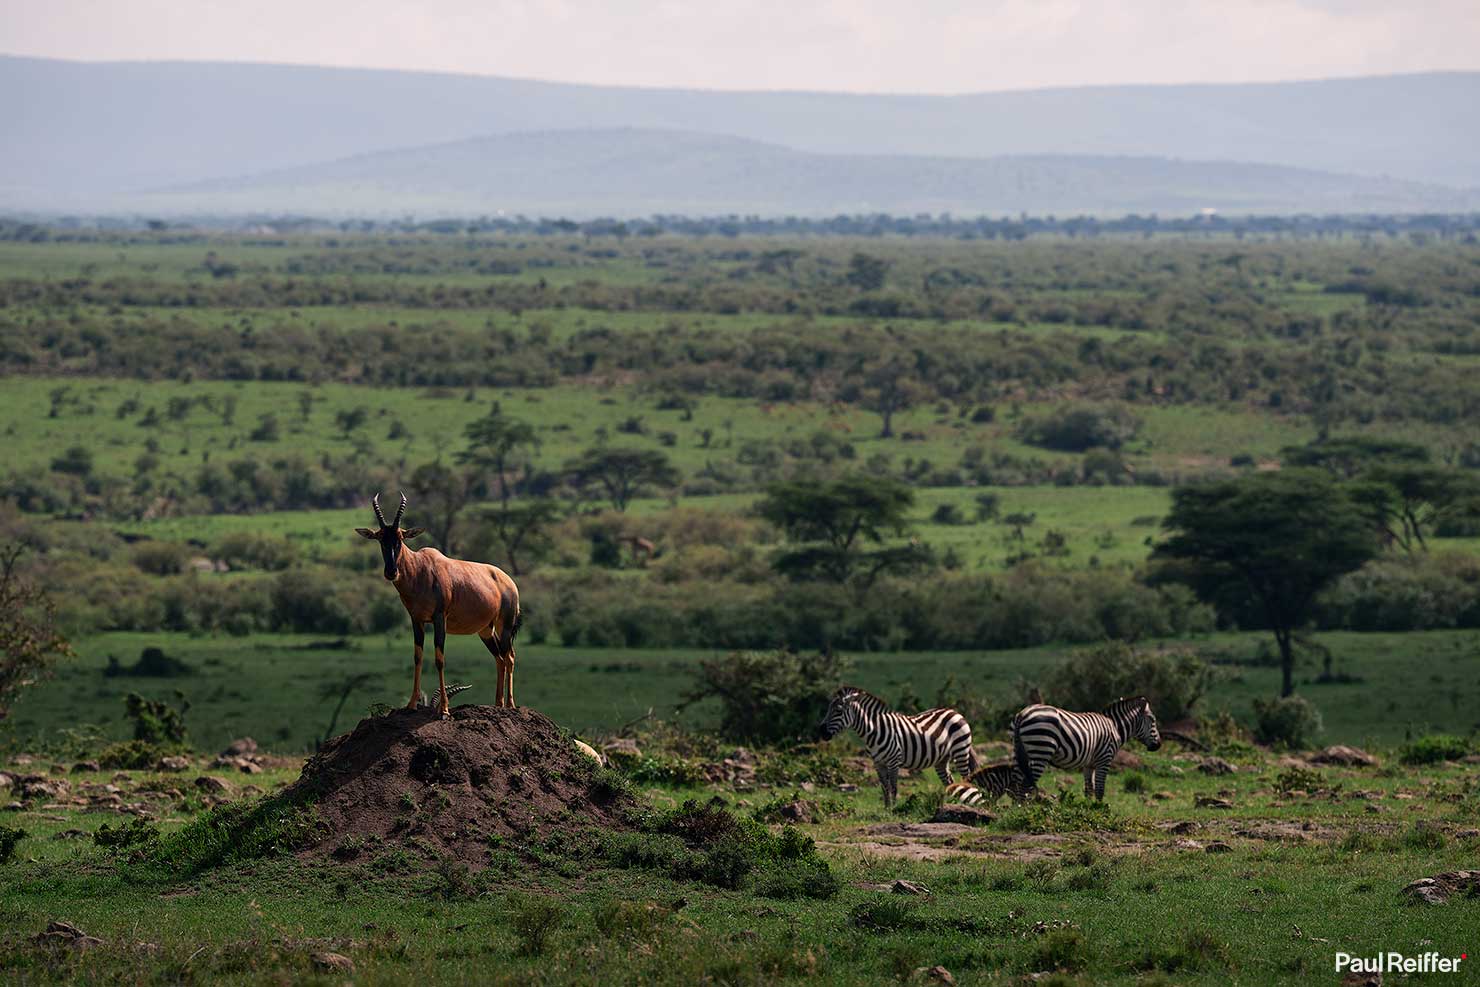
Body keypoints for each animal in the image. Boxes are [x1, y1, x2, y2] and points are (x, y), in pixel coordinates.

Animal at [356, 493, 523, 716]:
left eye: (400, 538)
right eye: (381, 538)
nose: (391, 572)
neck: (420, 569)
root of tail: (509, 581)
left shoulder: (439, 618)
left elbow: (439, 659)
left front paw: (444, 709)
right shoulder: (416, 620)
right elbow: (417, 656)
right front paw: (411, 704)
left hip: (505, 624)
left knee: (509, 656)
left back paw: (510, 704)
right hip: (486, 630)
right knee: (500, 659)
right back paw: (498, 703)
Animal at [818, 686, 979, 807]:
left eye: (838, 710)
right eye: (829, 709)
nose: (821, 732)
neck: (874, 731)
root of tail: (955, 712)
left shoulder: (893, 761)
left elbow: (893, 786)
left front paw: (894, 808)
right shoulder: (878, 763)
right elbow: (884, 787)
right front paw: (886, 808)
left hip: (960, 750)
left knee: (966, 777)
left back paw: (964, 803)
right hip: (942, 759)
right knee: (949, 781)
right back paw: (952, 803)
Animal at [1012, 696, 1161, 801]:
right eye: (1153, 720)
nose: (1159, 745)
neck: (1114, 727)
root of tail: (1023, 714)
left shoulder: (1089, 765)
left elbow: (1089, 790)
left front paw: (1089, 810)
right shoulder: (1104, 759)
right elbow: (1100, 790)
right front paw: (1101, 812)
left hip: (1020, 753)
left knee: (1015, 785)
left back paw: (1015, 811)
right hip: (1041, 751)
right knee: (1026, 786)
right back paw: (1025, 812)